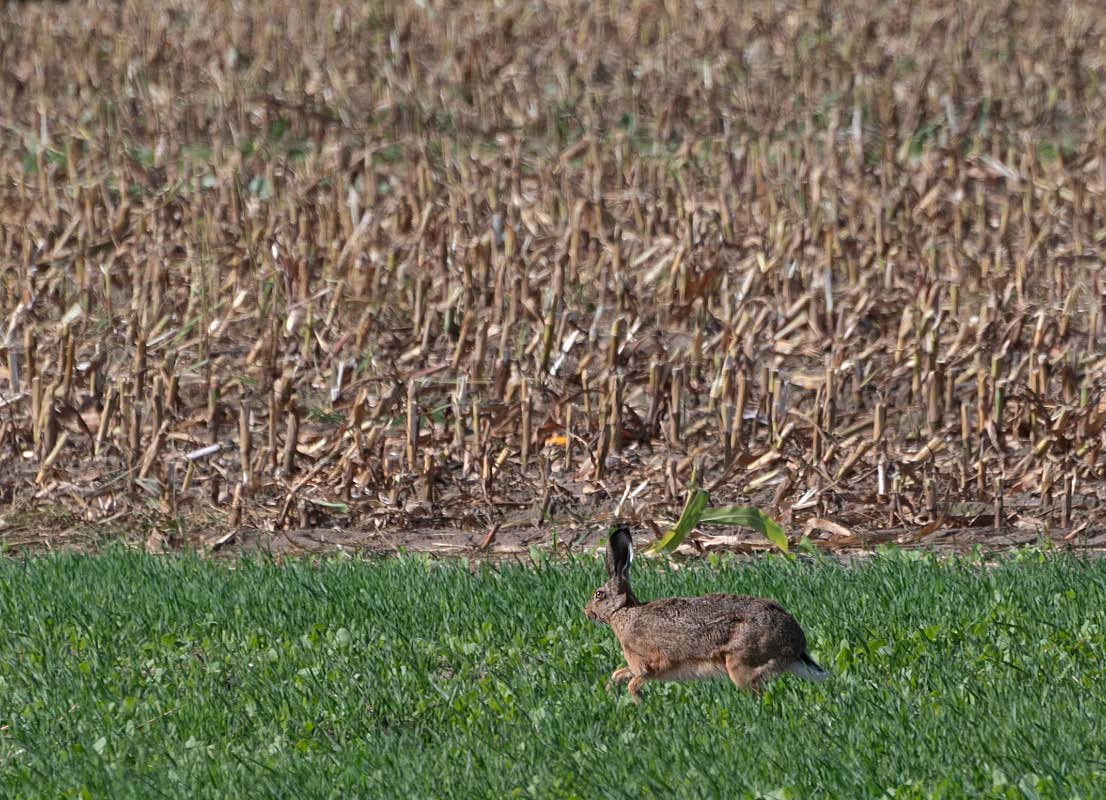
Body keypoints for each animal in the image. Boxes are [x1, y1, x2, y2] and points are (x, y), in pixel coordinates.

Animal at [584, 524, 827, 703]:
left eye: (598, 594)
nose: (586, 612)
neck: (623, 612)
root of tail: (795, 645)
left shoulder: (649, 665)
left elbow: (634, 684)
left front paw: (639, 705)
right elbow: (619, 674)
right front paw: (609, 692)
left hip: (740, 663)